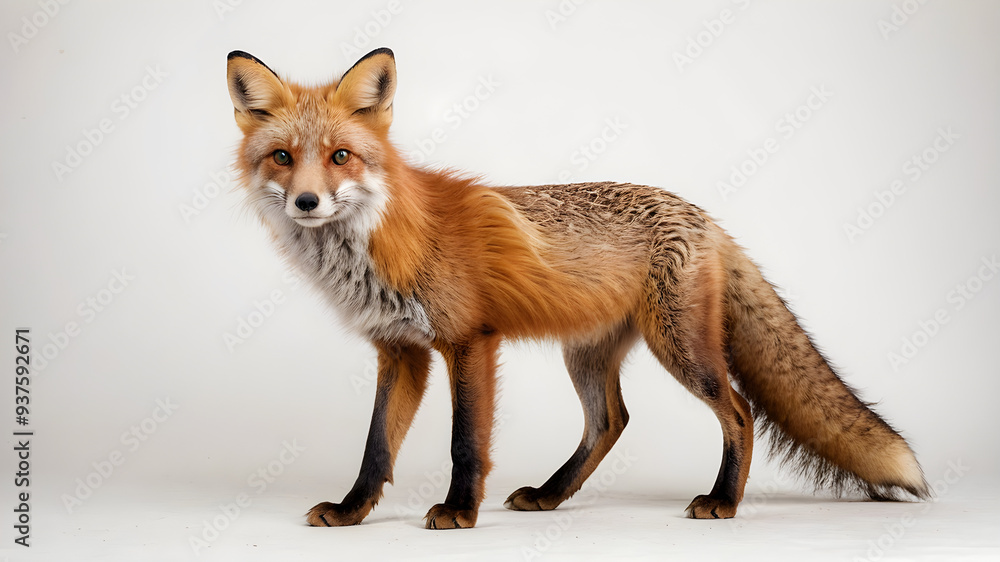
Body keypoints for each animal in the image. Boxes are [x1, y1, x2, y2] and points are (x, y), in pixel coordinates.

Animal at [225, 47, 929, 529]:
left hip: (682, 350)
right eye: (283, 158)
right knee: (610, 421)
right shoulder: (400, 351)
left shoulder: (469, 342)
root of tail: (704, 216)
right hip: (586, 353)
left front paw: (459, 512)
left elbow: (465, 443)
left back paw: (723, 500)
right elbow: (376, 447)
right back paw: (551, 494)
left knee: (739, 412)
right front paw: (352, 512)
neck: (382, 241)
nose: (308, 202)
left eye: (340, 156)